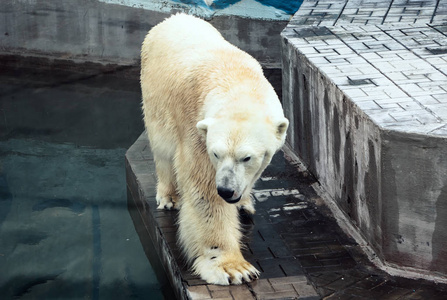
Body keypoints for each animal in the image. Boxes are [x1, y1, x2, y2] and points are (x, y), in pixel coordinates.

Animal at [141, 14, 290, 284]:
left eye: (247, 157)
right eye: (216, 153)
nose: (227, 190)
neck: (236, 81)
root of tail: (173, 18)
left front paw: (244, 203)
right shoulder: (196, 132)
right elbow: (205, 194)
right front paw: (234, 268)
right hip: (154, 97)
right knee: (162, 150)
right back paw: (169, 196)